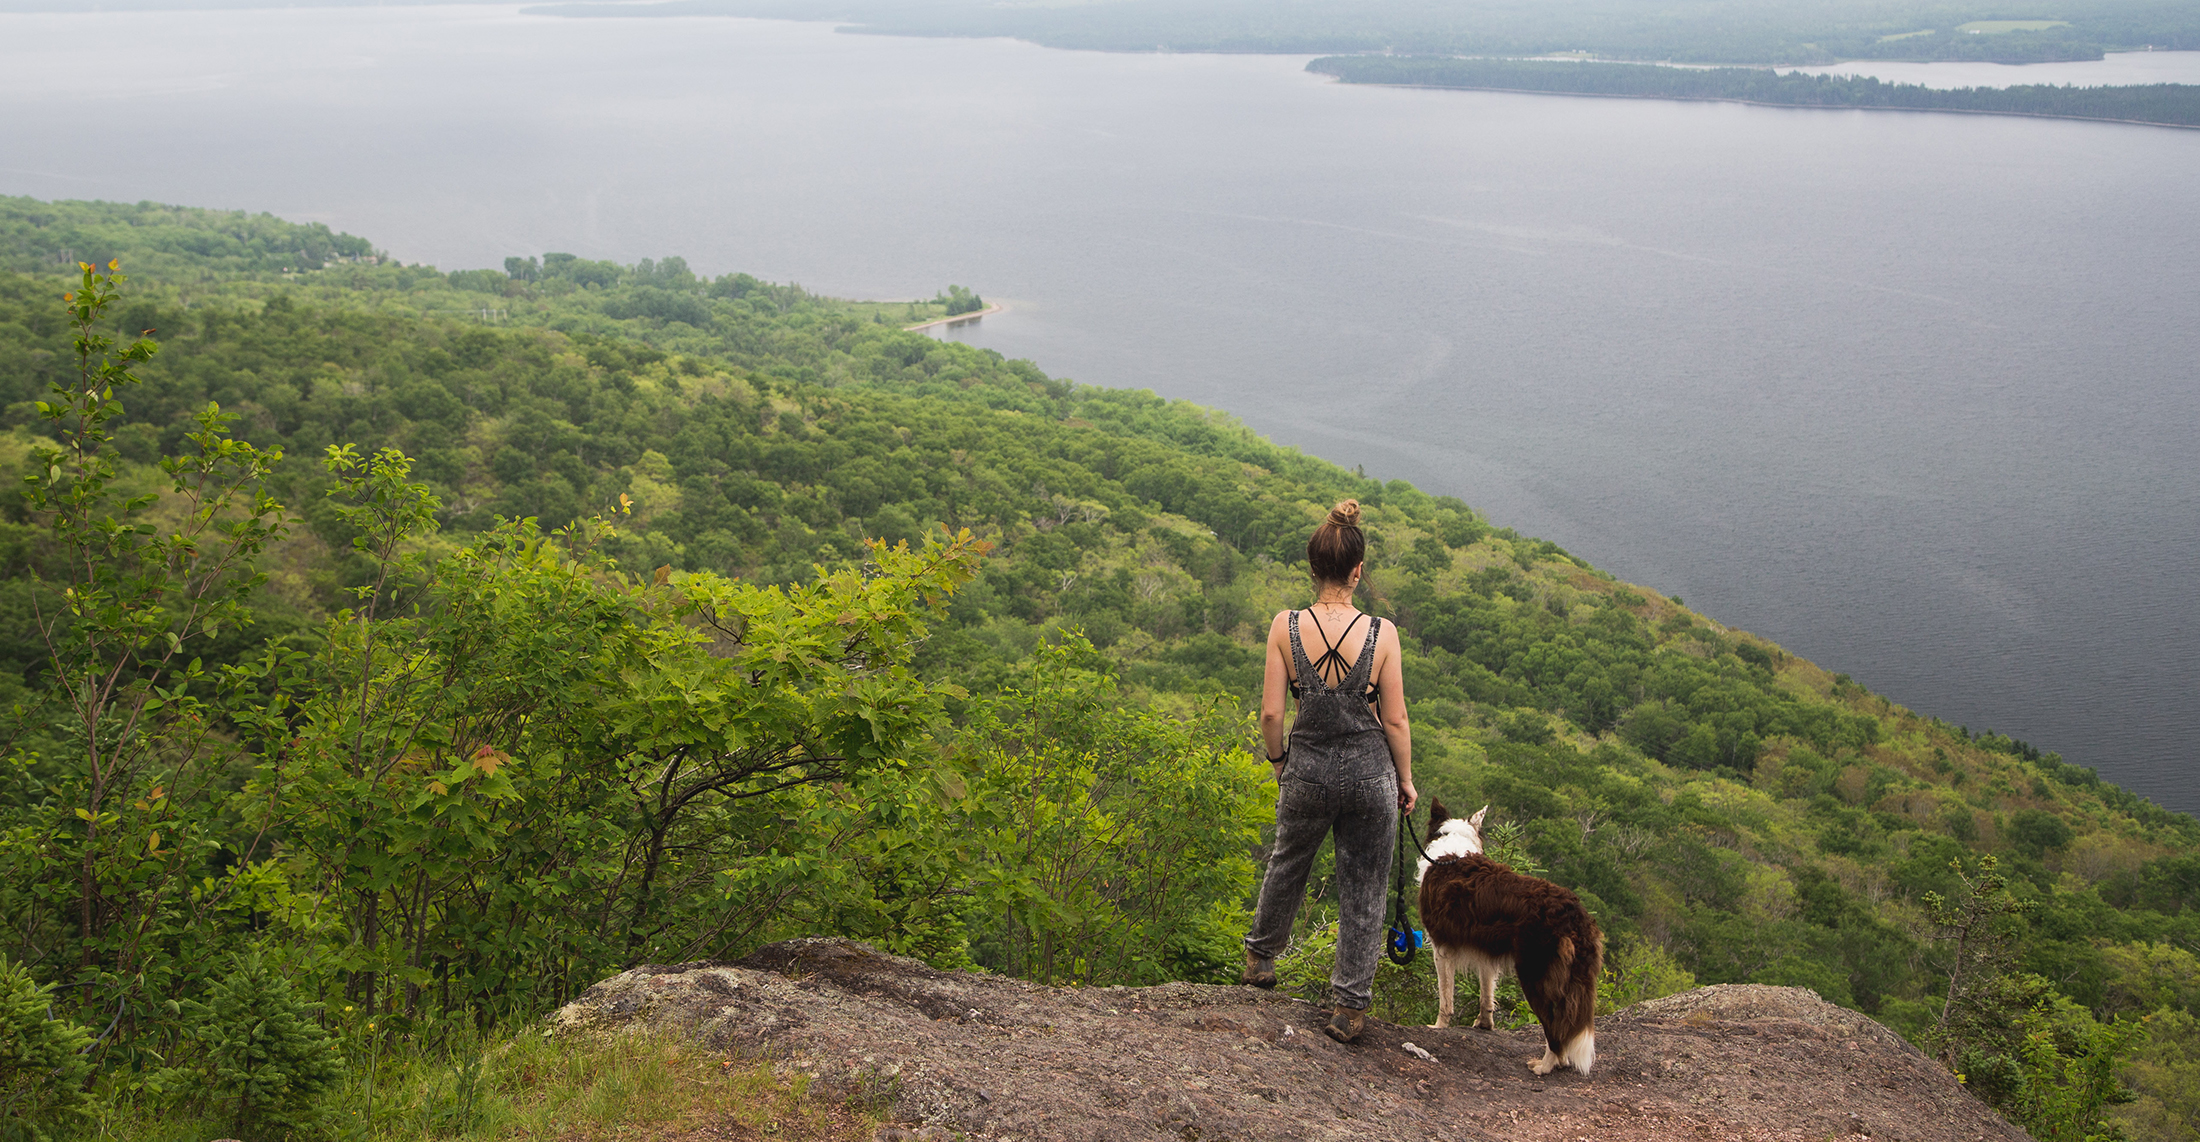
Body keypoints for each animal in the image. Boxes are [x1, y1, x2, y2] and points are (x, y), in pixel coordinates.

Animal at [1416, 799, 1603, 1076]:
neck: (1452, 851)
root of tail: (1573, 912)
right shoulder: (1485, 951)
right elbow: (1486, 994)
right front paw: (1484, 1024)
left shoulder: (1441, 947)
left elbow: (1445, 997)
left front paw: (1438, 1027)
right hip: (1574, 978)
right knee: (1567, 1021)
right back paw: (1560, 1061)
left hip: (1535, 975)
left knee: (1554, 1024)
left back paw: (1545, 1065)